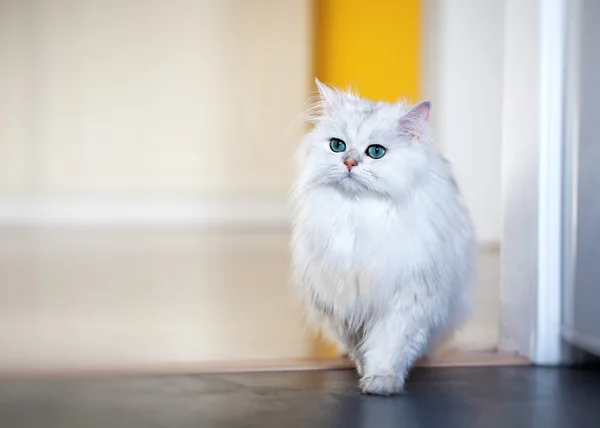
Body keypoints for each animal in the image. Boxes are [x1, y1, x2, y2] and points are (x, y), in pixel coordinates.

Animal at [290, 79, 474, 394]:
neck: (358, 215)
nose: (349, 163)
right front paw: (366, 373)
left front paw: (382, 381)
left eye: (376, 152)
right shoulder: (345, 304)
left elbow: (390, 346)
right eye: (337, 146)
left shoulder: (408, 298)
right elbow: (361, 348)